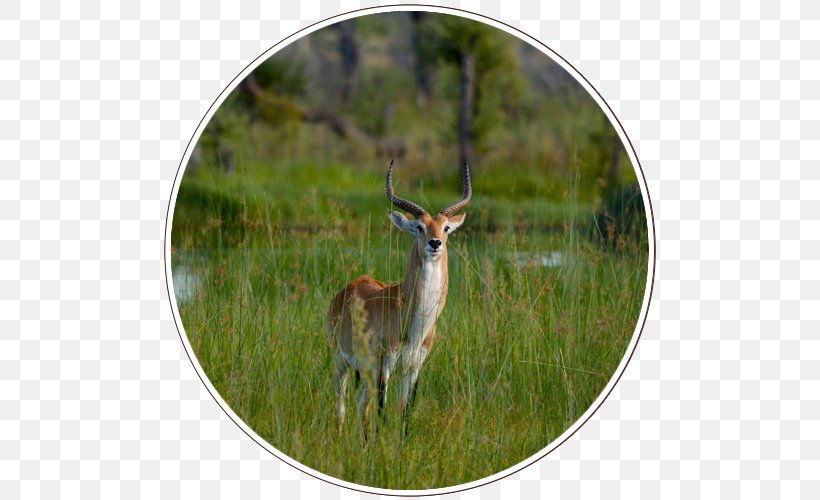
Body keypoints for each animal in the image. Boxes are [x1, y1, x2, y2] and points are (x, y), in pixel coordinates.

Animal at [324, 162, 470, 440]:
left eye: (446, 227)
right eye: (419, 227)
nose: (435, 243)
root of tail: (350, 287)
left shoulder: (414, 367)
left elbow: (405, 411)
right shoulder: (386, 363)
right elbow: (382, 411)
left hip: (365, 371)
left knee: (361, 403)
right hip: (341, 361)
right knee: (341, 405)